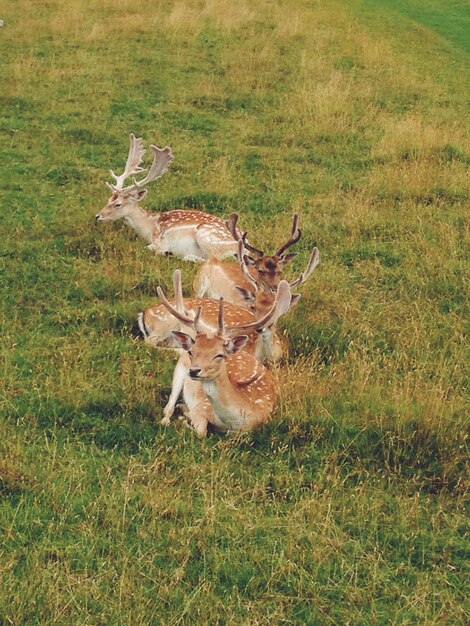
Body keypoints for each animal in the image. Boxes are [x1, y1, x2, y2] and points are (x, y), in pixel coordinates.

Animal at [96, 133, 242, 260]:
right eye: (108, 199)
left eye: (118, 204)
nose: (98, 216)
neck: (150, 228)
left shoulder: (160, 241)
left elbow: (148, 248)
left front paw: (166, 252)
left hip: (207, 236)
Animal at [154, 278, 292, 434]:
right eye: (191, 352)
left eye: (219, 355)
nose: (194, 370)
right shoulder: (202, 406)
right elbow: (201, 431)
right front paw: (185, 420)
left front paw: (184, 417)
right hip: (179, 370)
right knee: (168, 408)